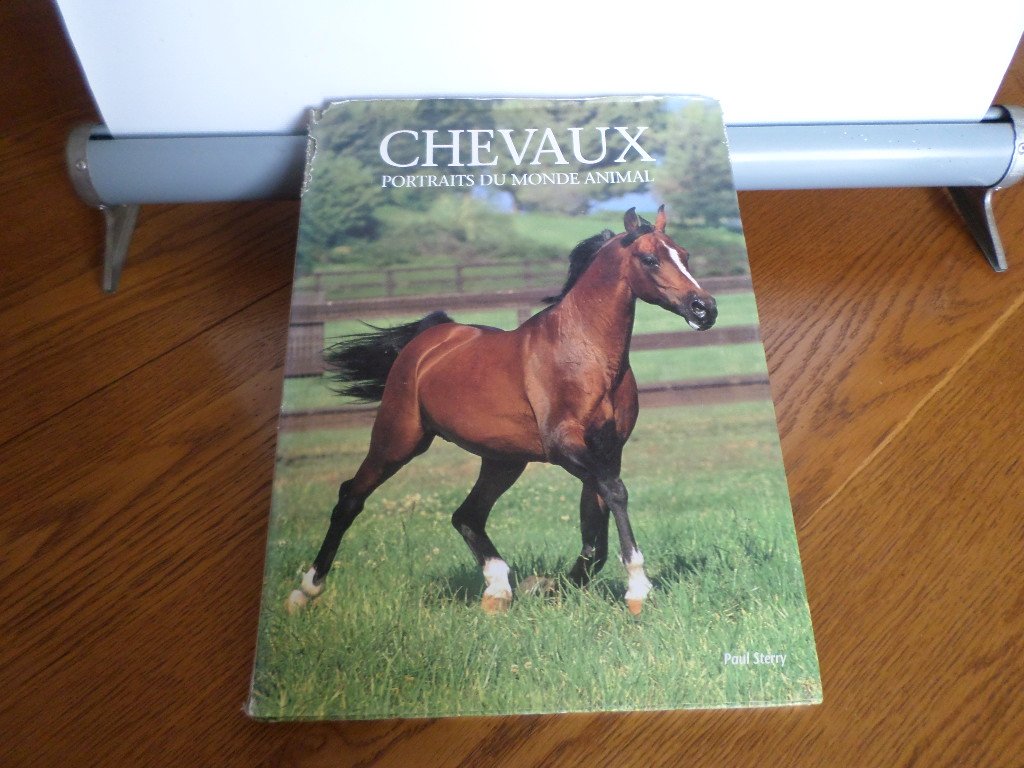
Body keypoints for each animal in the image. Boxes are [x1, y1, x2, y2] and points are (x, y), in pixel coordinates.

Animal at [285, 206, 718, 616]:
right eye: (650, 259)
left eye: (684, 254)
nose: (704, 309)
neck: (586, 354)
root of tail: (428, 340)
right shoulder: (565, 447)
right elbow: (615, 494)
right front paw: (638, 590)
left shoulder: (607, 452)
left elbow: (595, 536)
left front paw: (548, 587)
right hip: (398, 439)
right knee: (350, 497)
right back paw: (305, 591)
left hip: (502, 460)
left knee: (466, 515)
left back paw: (498, 590)